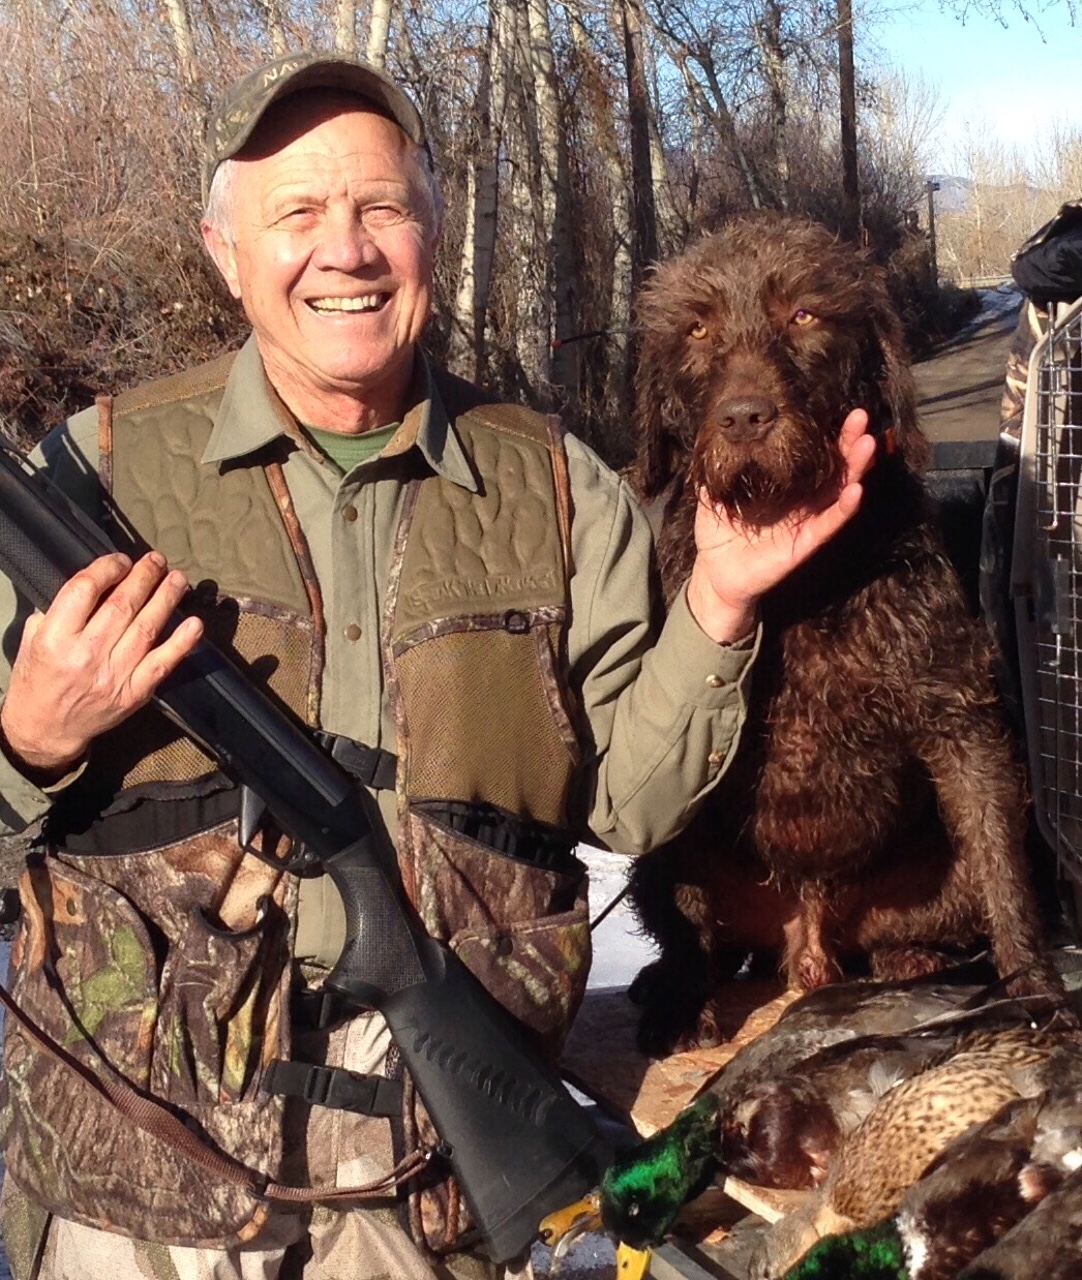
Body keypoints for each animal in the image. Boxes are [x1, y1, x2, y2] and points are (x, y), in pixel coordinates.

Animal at [619, 215, 1060, 1054]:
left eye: (804, 315)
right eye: (696, 327)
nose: (745, 417)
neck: (802, 584)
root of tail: (808, 943)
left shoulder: (961, 719)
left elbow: (1007, 875)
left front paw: (1034, 983)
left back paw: (909, 956)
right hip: (663, 864)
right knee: (702, 933)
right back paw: (673, 986)